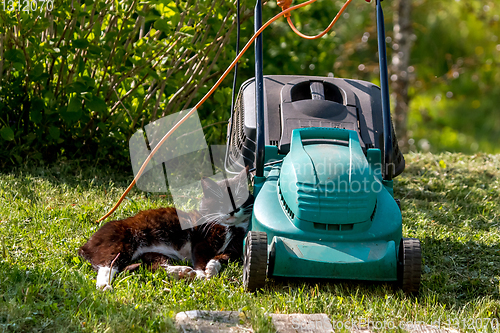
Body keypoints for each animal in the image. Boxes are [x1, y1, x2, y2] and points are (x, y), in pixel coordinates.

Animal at [79, 167, 254, 290]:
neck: (231, 226)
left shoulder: (234, 248)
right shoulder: (201, 240)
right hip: (120, 243)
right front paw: (201, 274)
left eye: (239, 198)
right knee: (107, 265)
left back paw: (182, 272)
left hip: (151, 254)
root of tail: (86, 244)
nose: (232, 210)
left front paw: (211, 268)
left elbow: (222, 257)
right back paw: (104, 286)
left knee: (154, 266)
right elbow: (200, 258)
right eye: (221, 201)